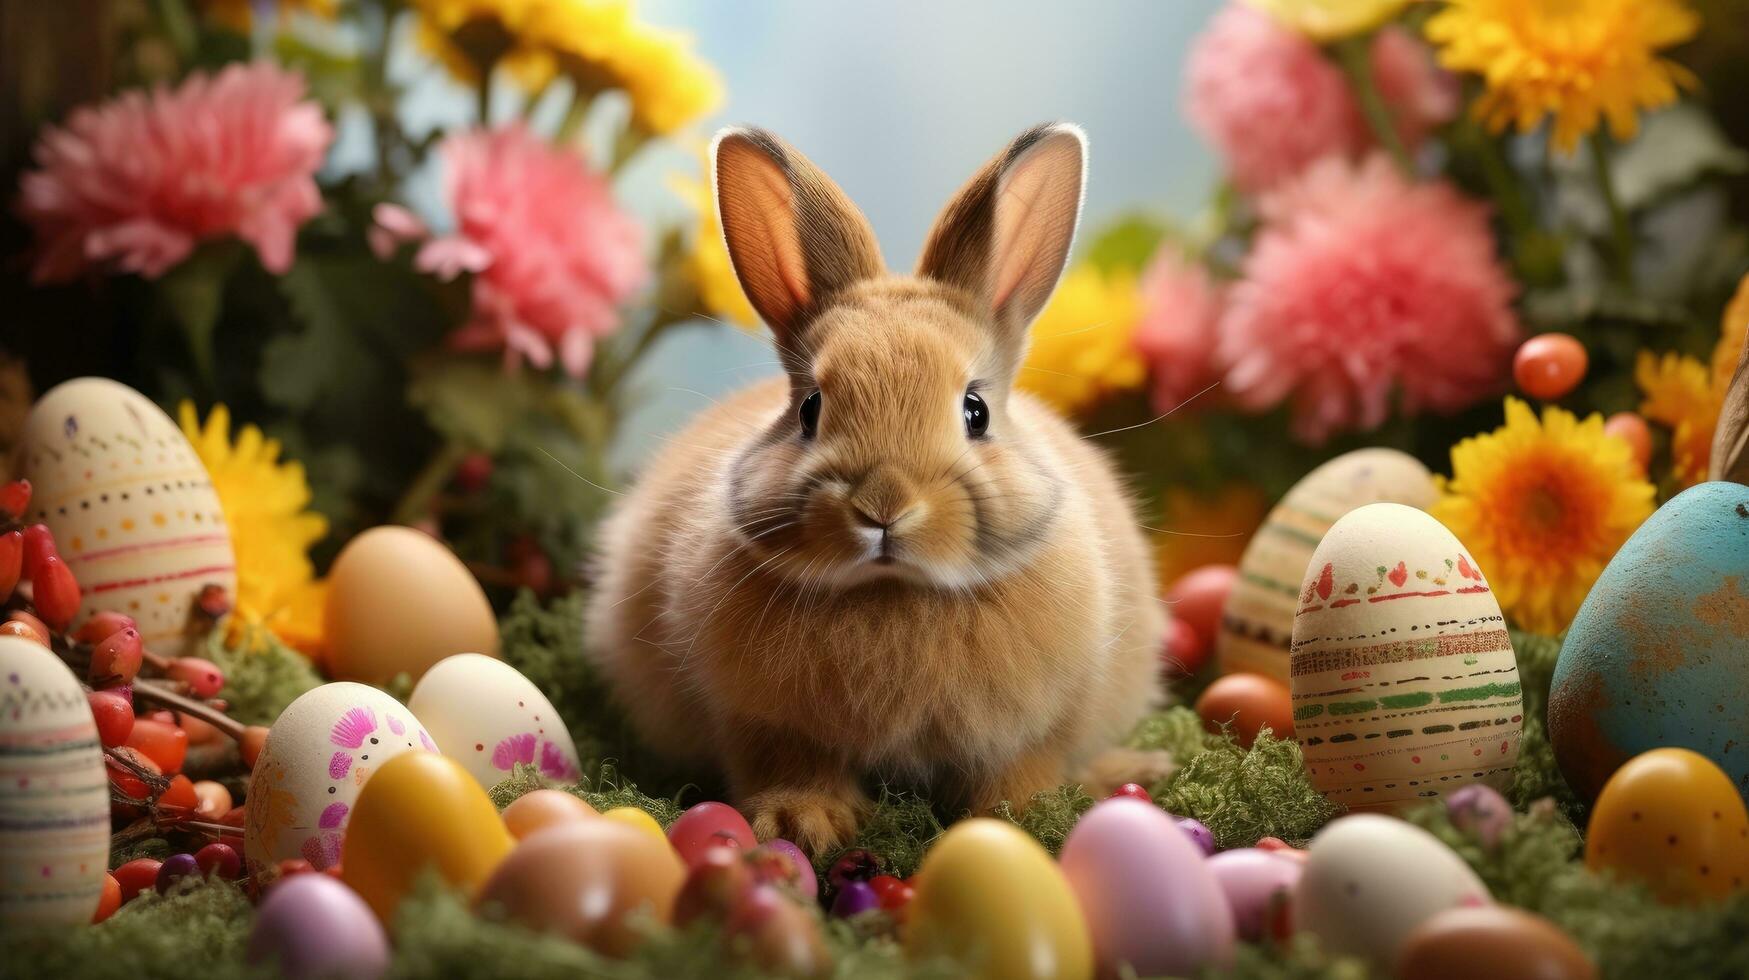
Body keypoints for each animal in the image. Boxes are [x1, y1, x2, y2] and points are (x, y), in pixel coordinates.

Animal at [584, 122, 1161, 854]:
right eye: (810, 409)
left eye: (975, 411)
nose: (883, 507)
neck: (892, 594)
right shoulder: (766, 725)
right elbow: (790, 766)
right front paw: (803, 823)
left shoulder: (1035, 727)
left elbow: (1020, 771)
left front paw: (1027, 821)